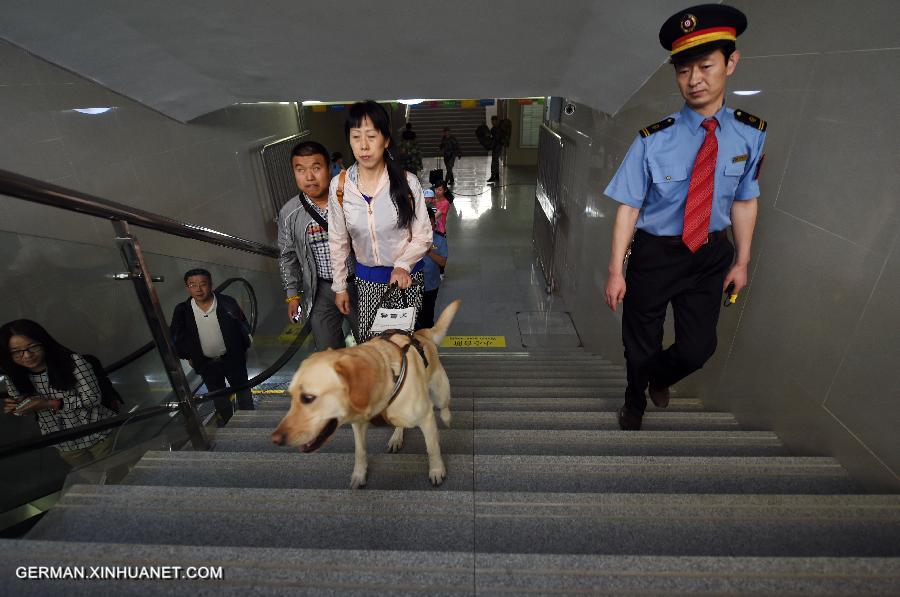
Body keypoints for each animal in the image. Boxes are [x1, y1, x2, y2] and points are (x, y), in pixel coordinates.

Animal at [270, 300, 460, 486]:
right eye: (291, 396)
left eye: (308, 398)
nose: (275, 439)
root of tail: (421, 334)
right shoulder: (358, 424)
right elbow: (360, 451)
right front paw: (359, 475)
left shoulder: (426, 418)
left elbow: (432, 448)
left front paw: (437, 470)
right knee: (400, 424)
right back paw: (396, 437)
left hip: (440, 390)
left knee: (444, 406)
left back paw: (447, 419)